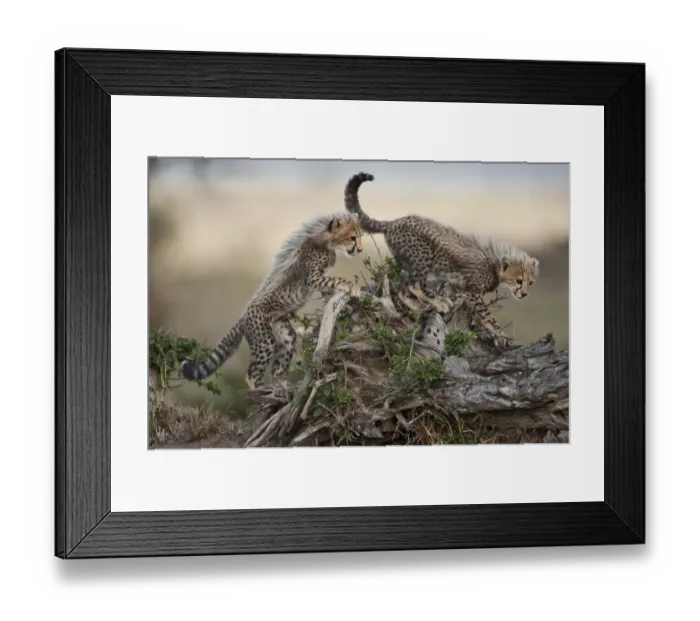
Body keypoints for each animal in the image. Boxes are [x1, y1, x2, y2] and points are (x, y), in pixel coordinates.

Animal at [180, 212, 364, 389]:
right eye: (352, 237)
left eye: (360, 236)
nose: (360, 250)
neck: (325, 241)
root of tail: (244, 315)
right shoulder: (313, 279)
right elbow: (336, 279)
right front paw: (352, 287)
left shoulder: (319, 281)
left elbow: (330, 288)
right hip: (264, 340)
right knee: (252, 375)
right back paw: (264, 390)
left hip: (284, 333)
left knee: (278, 367)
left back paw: (282, 386)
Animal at [343, 171, 540, 340]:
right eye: (519, 280)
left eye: (531, 282)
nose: (524, 294)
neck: (495, 266)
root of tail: (393, 222)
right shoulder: (473, 293)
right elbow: (487, 315)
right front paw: (501, 333)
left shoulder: (460, 288)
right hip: (423, 255)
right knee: (410, 286)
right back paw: (436, 303)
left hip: (406, 260)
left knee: (402, 285)